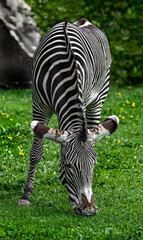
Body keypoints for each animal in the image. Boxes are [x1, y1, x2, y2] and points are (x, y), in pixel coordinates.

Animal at [18, 17, 119, 216]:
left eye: (94, 165)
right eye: (69, 166)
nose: (88, 210)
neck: (62, 69)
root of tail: (83, 21)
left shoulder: (82, 99)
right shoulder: (39, 106)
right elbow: (36, 153)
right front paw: (26, 195)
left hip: (98, 99)